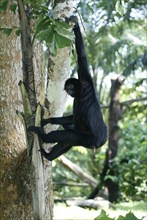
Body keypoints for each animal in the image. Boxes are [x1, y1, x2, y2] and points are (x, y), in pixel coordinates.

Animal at [28, 18, 107, 160]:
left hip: (89, 139)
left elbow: (82, 57)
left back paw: (42, 136)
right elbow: (73, 118)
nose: (69, 90)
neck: (80, 92)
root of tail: (102, 141)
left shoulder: (85, 81)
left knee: (69, 135)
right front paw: (47, 121)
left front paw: (76, 25)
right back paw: (48, 156)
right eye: (67, 88)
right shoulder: (77, 97)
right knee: (69, 137)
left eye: (70, 86)